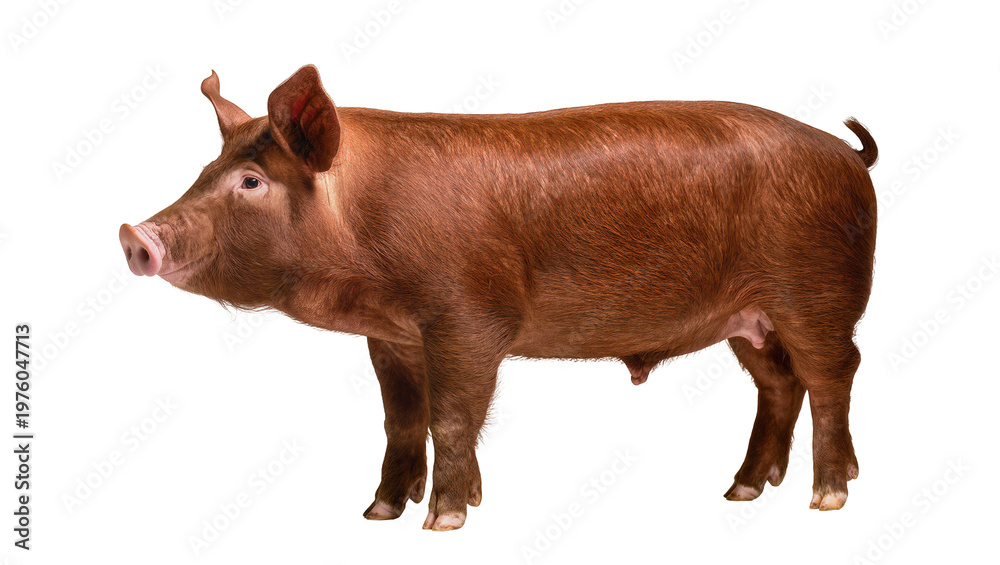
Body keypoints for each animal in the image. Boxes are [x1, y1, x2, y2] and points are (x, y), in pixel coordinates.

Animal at [120, 65, 878, 530]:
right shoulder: (391, 335)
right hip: (749, 320)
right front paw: (378, 514)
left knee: (834, 373)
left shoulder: (470, 317)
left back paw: (828, 498)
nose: (133, 234)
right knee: (780, 384)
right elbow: (402, 420)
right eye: (207, 168)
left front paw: (445, 521)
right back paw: (744, 489)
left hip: (816, 292)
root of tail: (847, 154)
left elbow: (453, 417)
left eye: (251, 181)